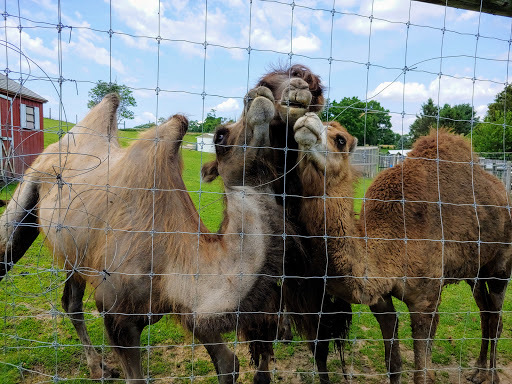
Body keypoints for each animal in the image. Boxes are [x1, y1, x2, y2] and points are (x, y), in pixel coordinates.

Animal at [0, 91, 302, 382]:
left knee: (71, 302)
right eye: (219, 137)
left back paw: (98, 368)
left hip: (75, 251)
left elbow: (229, 364)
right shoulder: (115, 314)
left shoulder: (190, 305)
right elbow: (136, 378)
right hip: (25, 197)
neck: (170, 259)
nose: (258, 96)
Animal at [202, 63, 354, 384]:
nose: (299, 87)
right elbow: (261, 339)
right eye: (267, 83)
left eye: (315, 89)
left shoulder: (315, 282)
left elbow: (321, 342)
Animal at [292, 113, 512, 384]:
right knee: (485, 313)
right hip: (475, 272)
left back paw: (491, 375)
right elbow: (393, 363)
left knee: (497, 318)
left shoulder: (424, 300)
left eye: (340, 139)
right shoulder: (381, 299)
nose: (306, 118)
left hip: (501, 264)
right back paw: (477, 371)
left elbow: (421, 371)